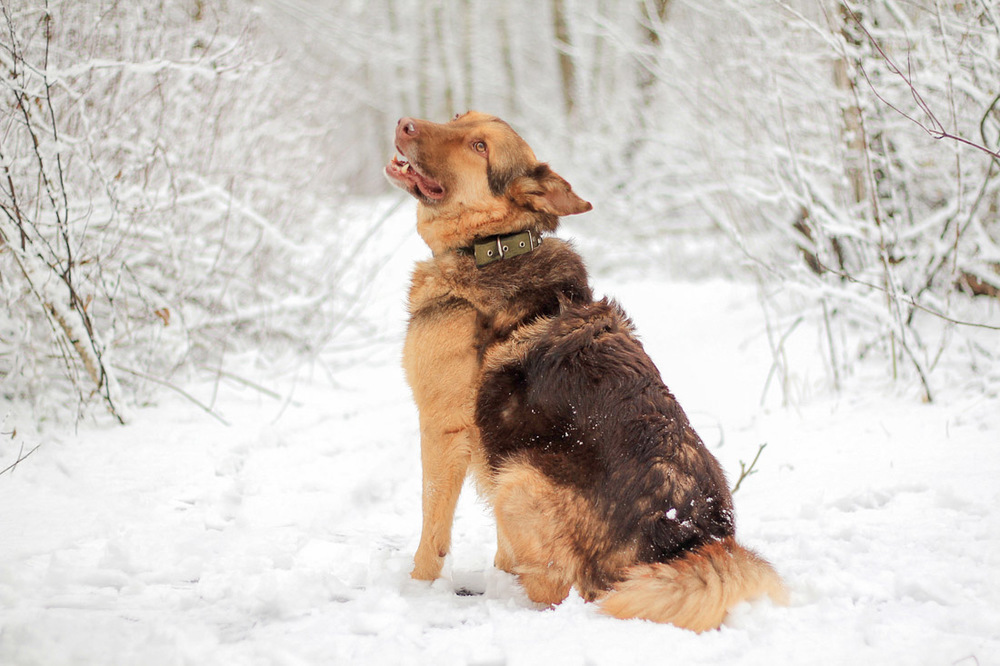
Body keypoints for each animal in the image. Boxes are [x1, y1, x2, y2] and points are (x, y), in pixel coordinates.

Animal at [386, 111, 784, 632]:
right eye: (458, 118)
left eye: (479, 147)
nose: (404, 124)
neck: (494, 245)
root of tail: (693, 544)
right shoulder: (490, 443)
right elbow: (500, 548)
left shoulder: (443, 429)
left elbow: (432, 528)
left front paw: (416, 589)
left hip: (518, 479)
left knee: (564, 593)